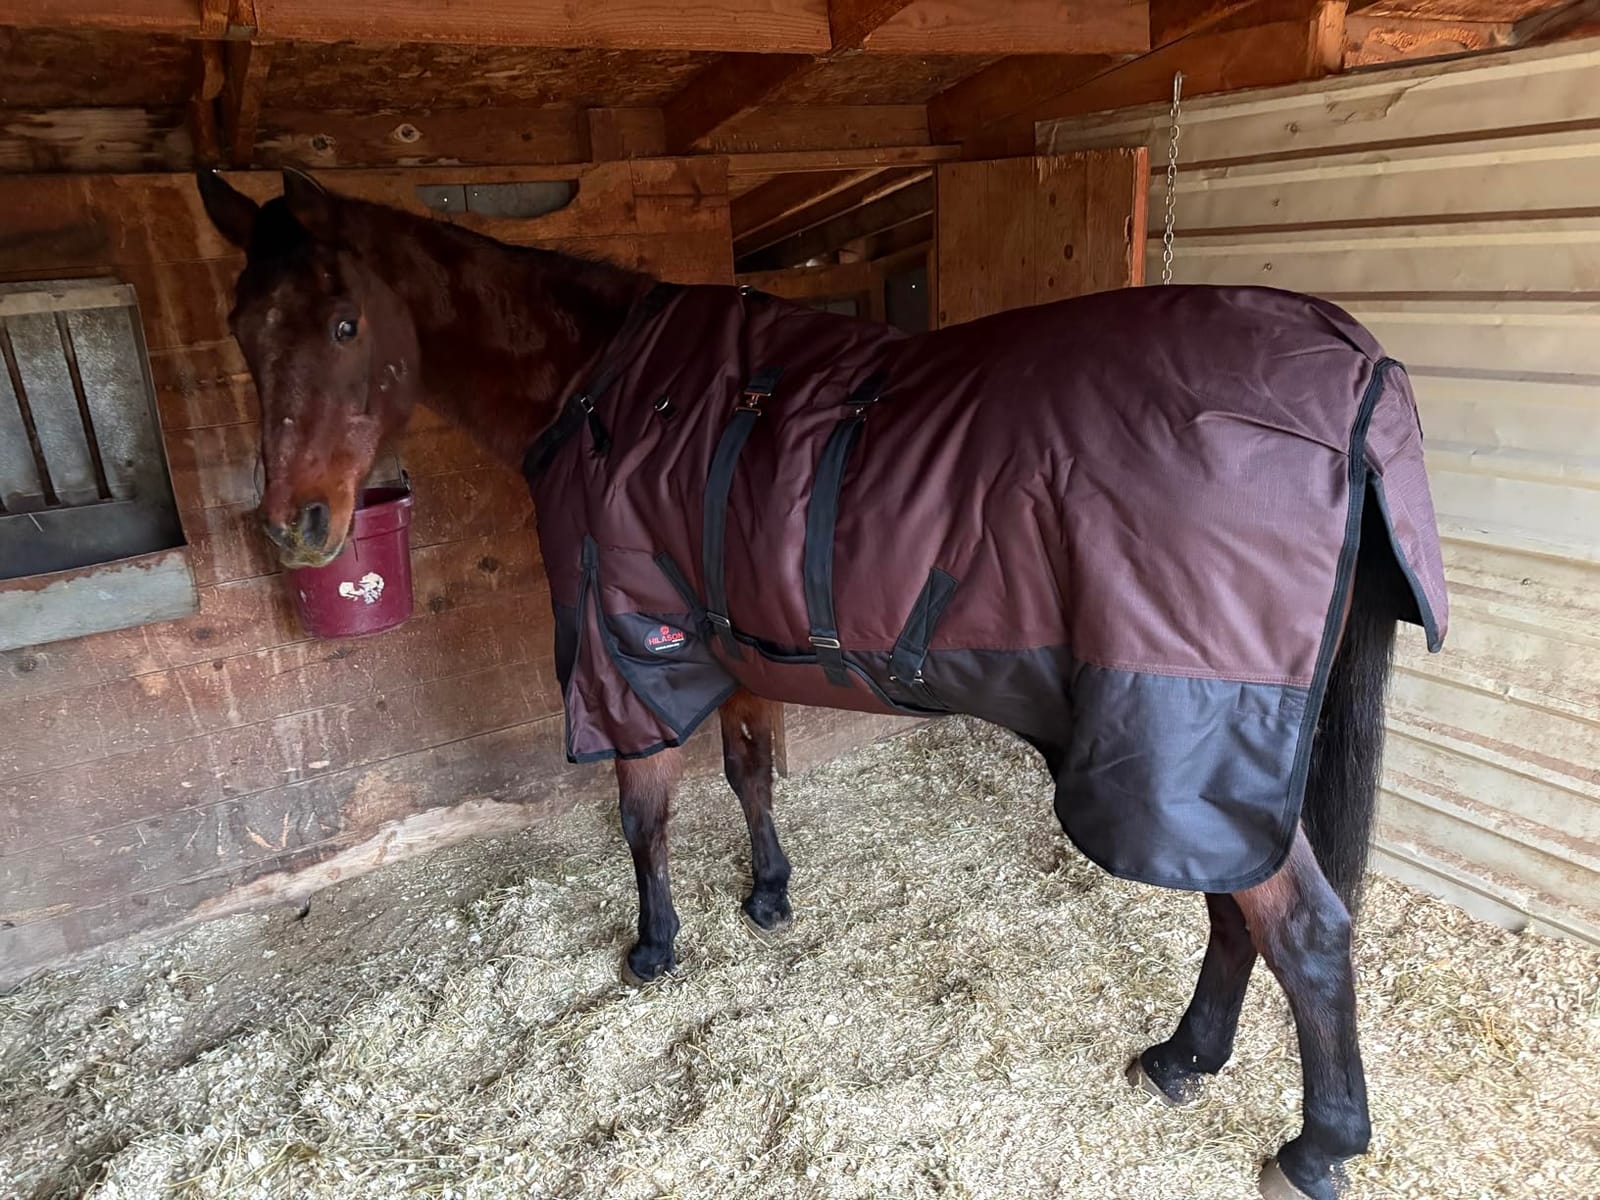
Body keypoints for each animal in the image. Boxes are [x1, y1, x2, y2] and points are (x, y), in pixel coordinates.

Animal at [196, 167, 1448, 1200]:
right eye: (244, 332)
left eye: (345, 321)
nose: (299, 528)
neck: (611, 392)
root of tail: (1354, 373)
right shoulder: (734, 640)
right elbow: (749, 772)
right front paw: (766, 896)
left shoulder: (630, 653)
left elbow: (643, 814)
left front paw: (654, 946)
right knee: (1236, 910)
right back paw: (1185, 1060)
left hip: (1189, 744)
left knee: (1300, 931)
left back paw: (1315, 1146)